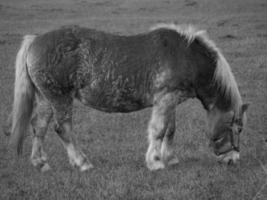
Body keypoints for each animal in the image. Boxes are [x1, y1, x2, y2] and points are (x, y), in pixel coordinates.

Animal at [7, 23, 249, 170]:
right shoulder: (165, 99)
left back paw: (40, 163)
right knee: (62, 128)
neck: (186, 56)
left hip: (46, 98)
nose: (234, 160)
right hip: (60, 98)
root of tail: (34, 40)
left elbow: (170, 130)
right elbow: (158, 130)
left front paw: (170, 158)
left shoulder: (170, 101)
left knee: (39, 127)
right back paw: (82, 162)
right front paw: (155, 162)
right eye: (237, 129)